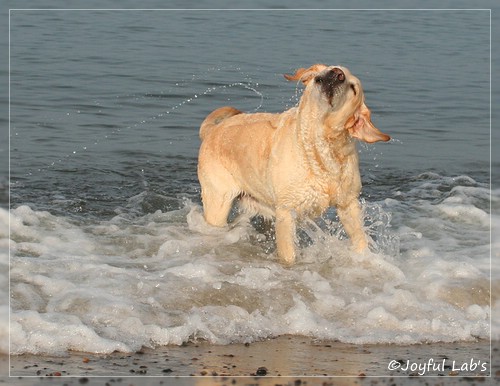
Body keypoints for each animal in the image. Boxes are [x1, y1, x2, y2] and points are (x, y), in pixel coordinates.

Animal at [197, 65, 388, 266]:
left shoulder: (348, 204)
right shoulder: (286, 212)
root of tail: (212, 130)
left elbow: (360, 239)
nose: (337, 73)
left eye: (353, 88)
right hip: (218, 202)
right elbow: (288, 255)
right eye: (330, 68)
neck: (318, 148)